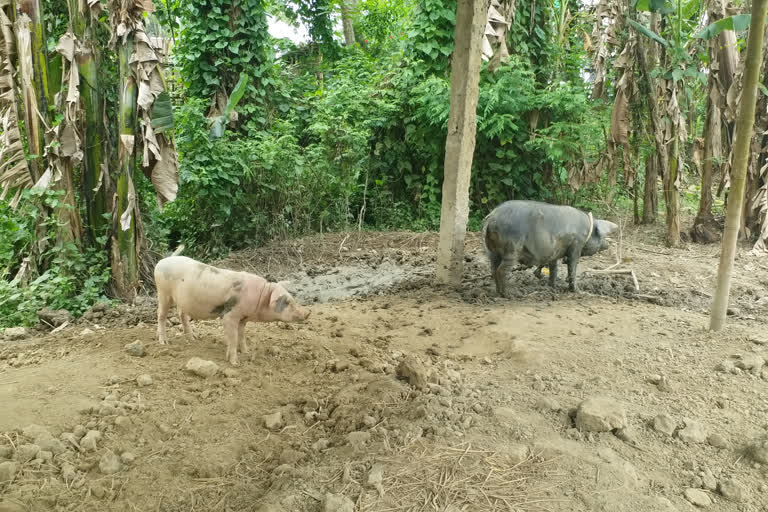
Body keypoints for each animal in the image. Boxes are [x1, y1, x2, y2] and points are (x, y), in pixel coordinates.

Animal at [154, 254, 310, 366]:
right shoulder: (230, 315)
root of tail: (160, 262)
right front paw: (235, 363)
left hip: (181, 300)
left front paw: (246, 352)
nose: (308, 312)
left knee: (182, 314)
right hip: (163, 293)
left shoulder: (243, 318)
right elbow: (233, 338)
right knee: (161, 315)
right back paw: (164, 343)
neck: (261, 298)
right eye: (287, 302)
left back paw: (194, 338)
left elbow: (241, 335)